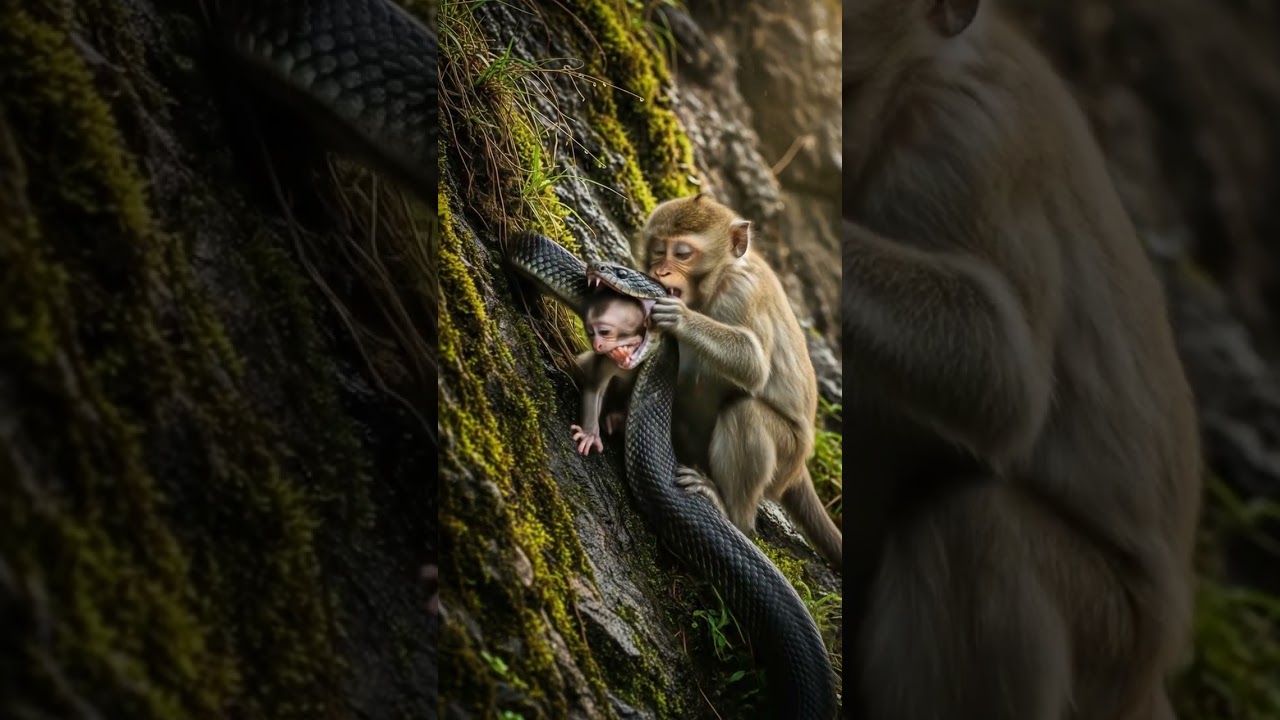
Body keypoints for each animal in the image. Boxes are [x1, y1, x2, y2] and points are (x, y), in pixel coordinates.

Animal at [569, 290, 651, 456]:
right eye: (590, 333)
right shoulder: (606, 360)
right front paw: (590, 435)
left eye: (604, 332)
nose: (596, 345)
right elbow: (595, 388)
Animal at [640, 193, 843, 570]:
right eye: (659, 250)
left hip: (786, 456)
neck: (720, 277)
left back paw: (731, 513)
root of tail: (799, 468)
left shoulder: (742, 293)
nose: (660, 271)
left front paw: (681, 318)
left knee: (745, 411)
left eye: (682, 253)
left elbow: (754, 365)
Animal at [842, 1, 1202, 719]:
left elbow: (1003, 375)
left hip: (1109, 647)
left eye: (847, 89)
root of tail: (1152, 679)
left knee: (976, 526)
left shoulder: (966, 146)